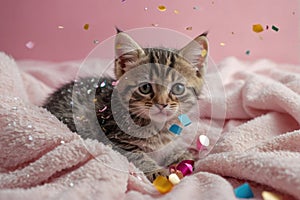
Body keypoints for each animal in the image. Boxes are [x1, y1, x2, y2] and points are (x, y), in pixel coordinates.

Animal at [43, 30, 209, 182]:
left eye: (178, 88)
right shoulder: (114, 140)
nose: (162, 104)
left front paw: (182, 155)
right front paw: (157, 172)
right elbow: (137, 157)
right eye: (145, 88)